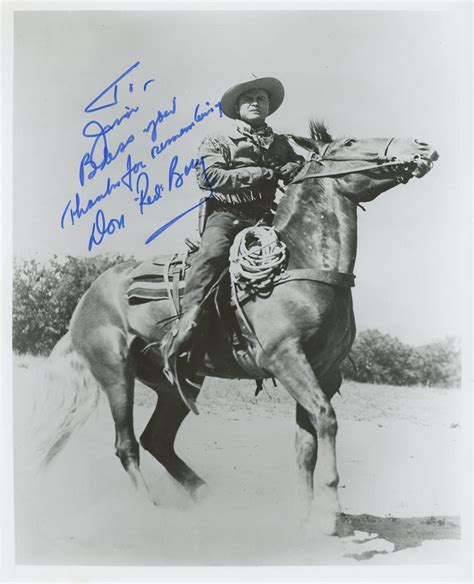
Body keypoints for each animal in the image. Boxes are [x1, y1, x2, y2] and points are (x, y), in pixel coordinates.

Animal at [35, 122, 438, 532]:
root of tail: (84, 304)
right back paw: (149, 508)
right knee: (127, 444)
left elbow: (306, 443)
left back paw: (209, 498)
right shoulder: (286, 359)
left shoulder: (325, 371)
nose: (421, 147)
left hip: (178, 384)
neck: (300, 265)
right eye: (350, 142)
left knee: (157, 440)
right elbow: (326, 420)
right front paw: (329, 513)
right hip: (115, 372)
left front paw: (305, 516)